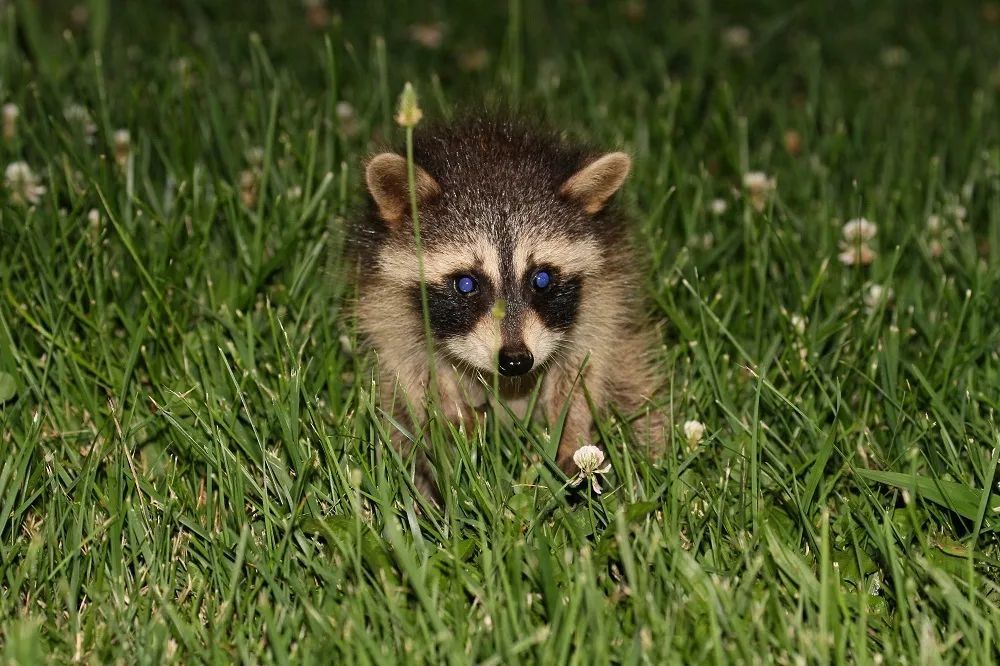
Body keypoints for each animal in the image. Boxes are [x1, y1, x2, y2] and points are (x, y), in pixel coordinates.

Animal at [352, 115, 664, 498]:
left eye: (541, 279)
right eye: (466, 284)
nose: (516, 361)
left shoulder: (603, 297)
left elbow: (584, 366)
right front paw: (452, 416)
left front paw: (571, 430)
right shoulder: (386, 303)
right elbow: (413, 369)